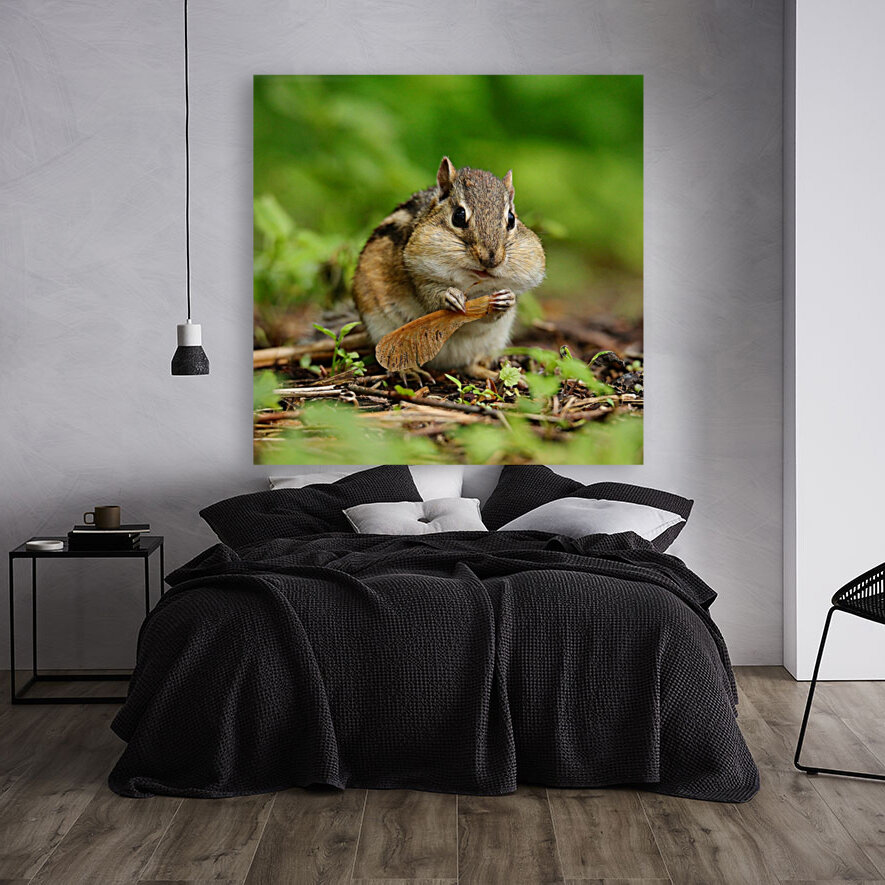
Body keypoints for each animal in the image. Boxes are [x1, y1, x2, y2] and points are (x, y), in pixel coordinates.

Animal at [353, 156, 546, 374]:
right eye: (459, 216)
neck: (472, 283)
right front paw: (449, 296)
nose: (491, 259)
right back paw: (408, 371)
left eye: (511, 219)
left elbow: (491, 314)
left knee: (471, 367)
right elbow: (429, 297)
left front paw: (507, 299)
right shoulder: (418, 276)